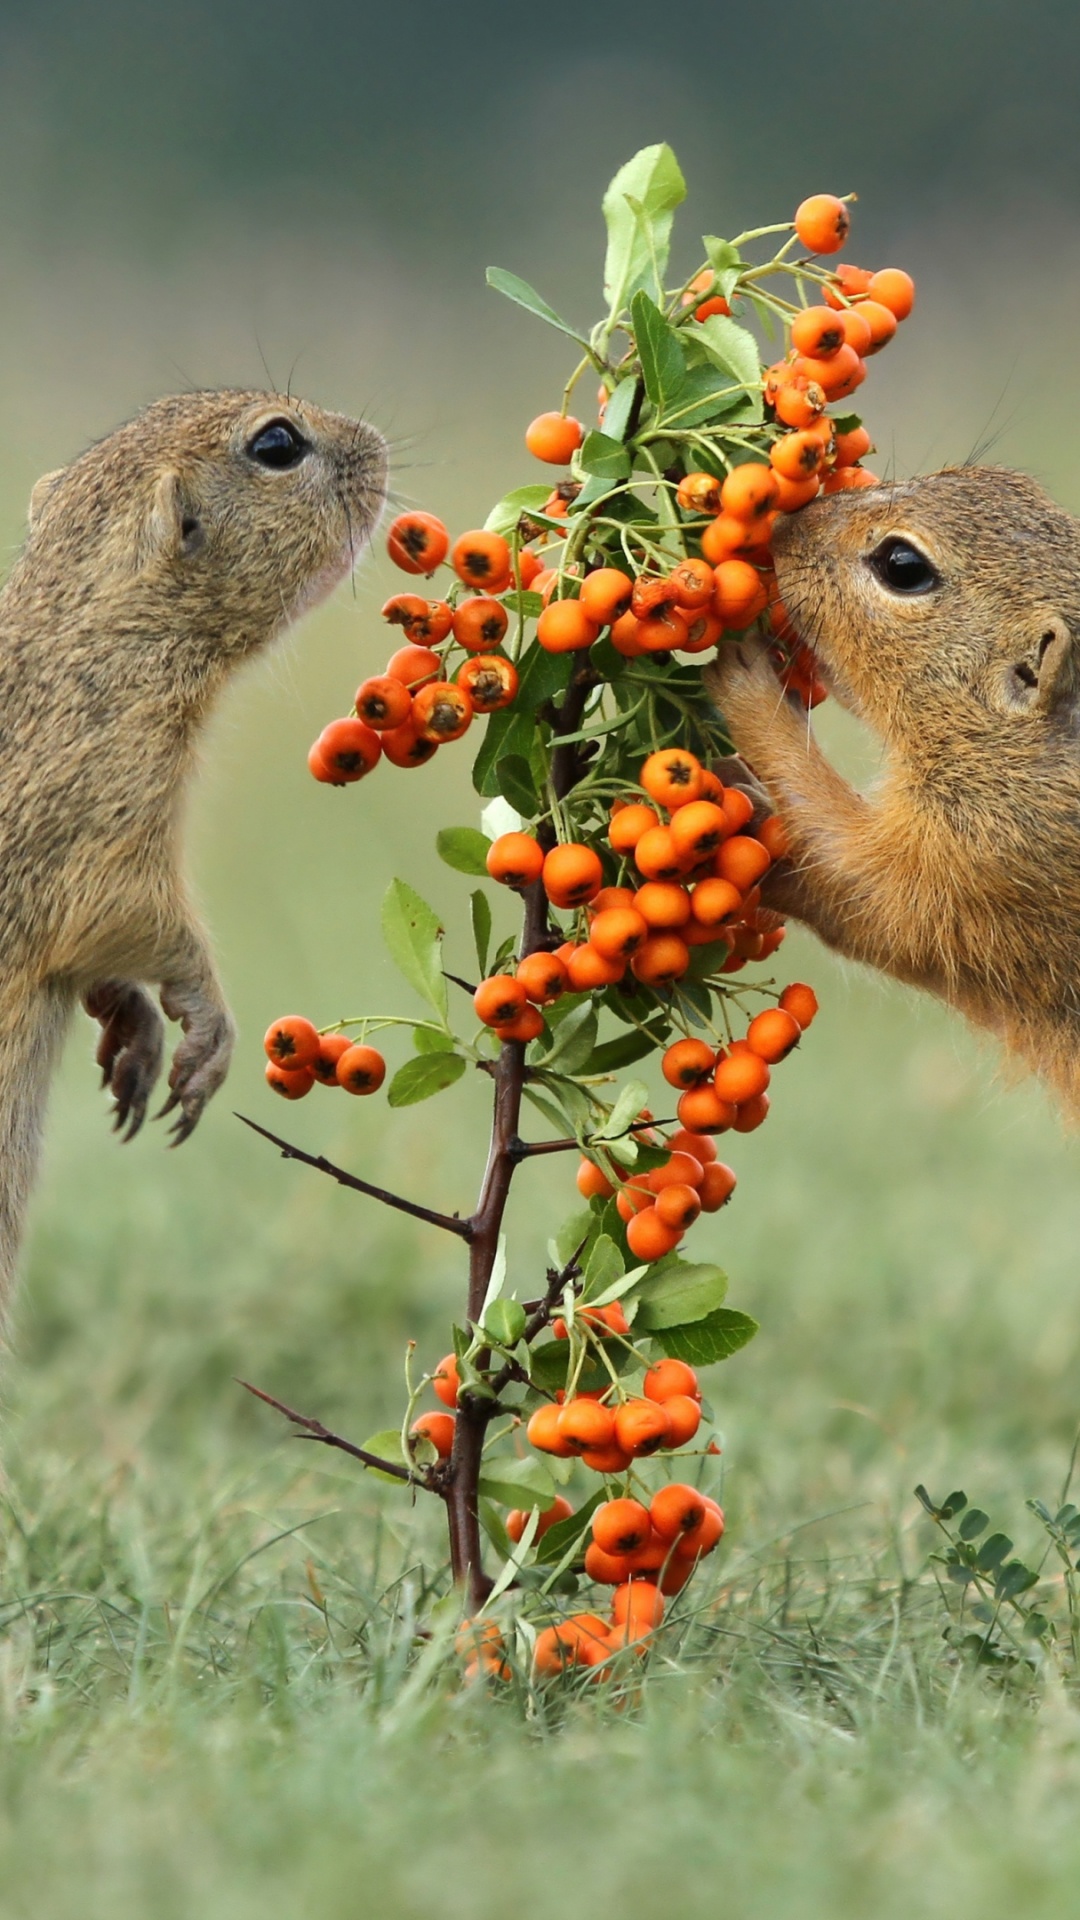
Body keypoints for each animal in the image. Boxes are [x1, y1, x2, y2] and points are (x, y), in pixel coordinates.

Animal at [0, 389, 387, 1315]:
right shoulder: (106, 802)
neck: (90, 631)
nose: (379, 444)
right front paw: (206, 1030)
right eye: (277, 445)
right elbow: (130, 919)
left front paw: (133, 1032)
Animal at [705, 465, 1080, 1116]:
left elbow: (863, 890)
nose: (784, 525)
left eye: (902, 566)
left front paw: (749, 688)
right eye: (998, 478)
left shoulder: (999, 861)